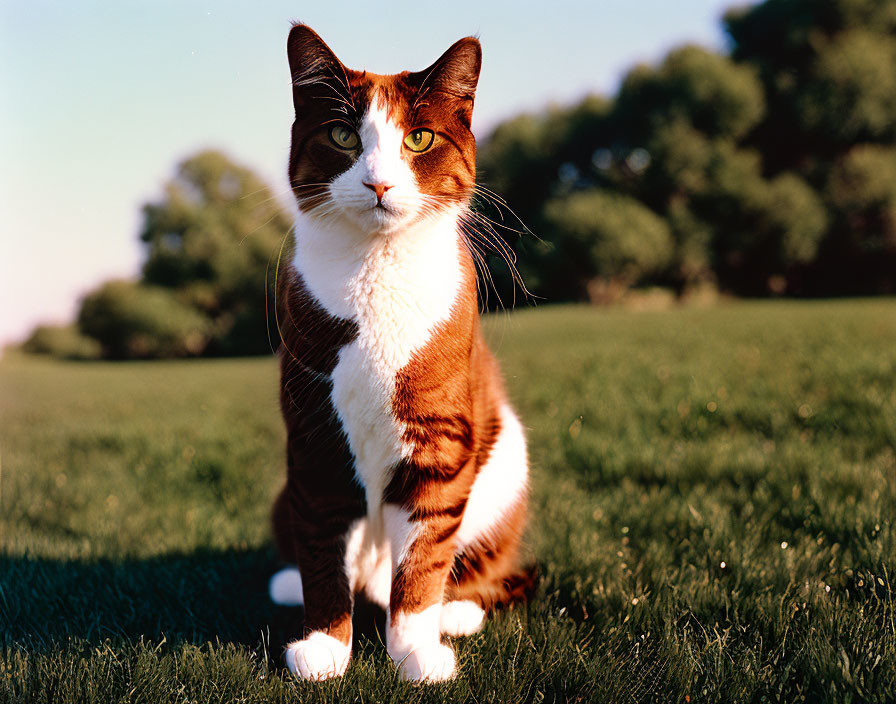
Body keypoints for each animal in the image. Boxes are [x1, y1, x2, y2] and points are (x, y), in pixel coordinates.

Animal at [266, 23, 532, 680]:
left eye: (419, 137)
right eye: (343, 135)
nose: (379, 182)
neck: (376, 272)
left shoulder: (439, 439)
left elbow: (425, 555)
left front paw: (414, 651)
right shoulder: (315, 436)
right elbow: (322, 548)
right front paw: (325, 646)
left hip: (506, 463)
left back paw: (454, 614)